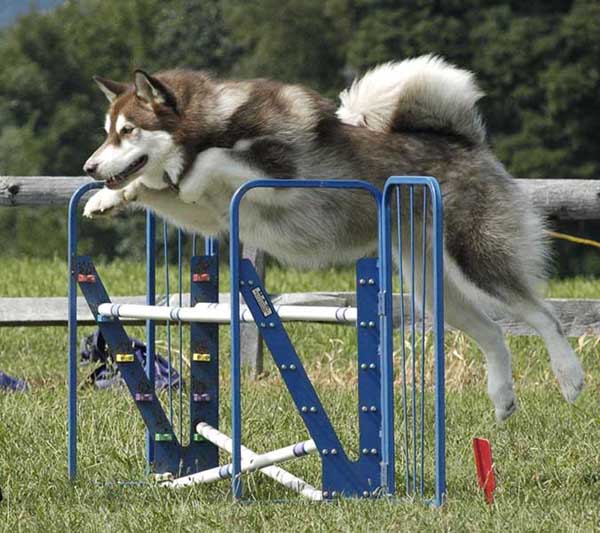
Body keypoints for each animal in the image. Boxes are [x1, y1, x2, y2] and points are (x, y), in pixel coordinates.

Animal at [82, 54, 584, 420]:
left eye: (128, 131)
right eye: (107, 133)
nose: (89, 167)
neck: (210, 122)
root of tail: (468, 143)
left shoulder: (278, 170)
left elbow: (207, 161)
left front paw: (179, 176)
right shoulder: (208, 216)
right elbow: (157, 188)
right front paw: (110, 199)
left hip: (476, 256)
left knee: (545, 316)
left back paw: (570, 376)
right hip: (430, 287)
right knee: (495, 332)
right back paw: (502, 398)